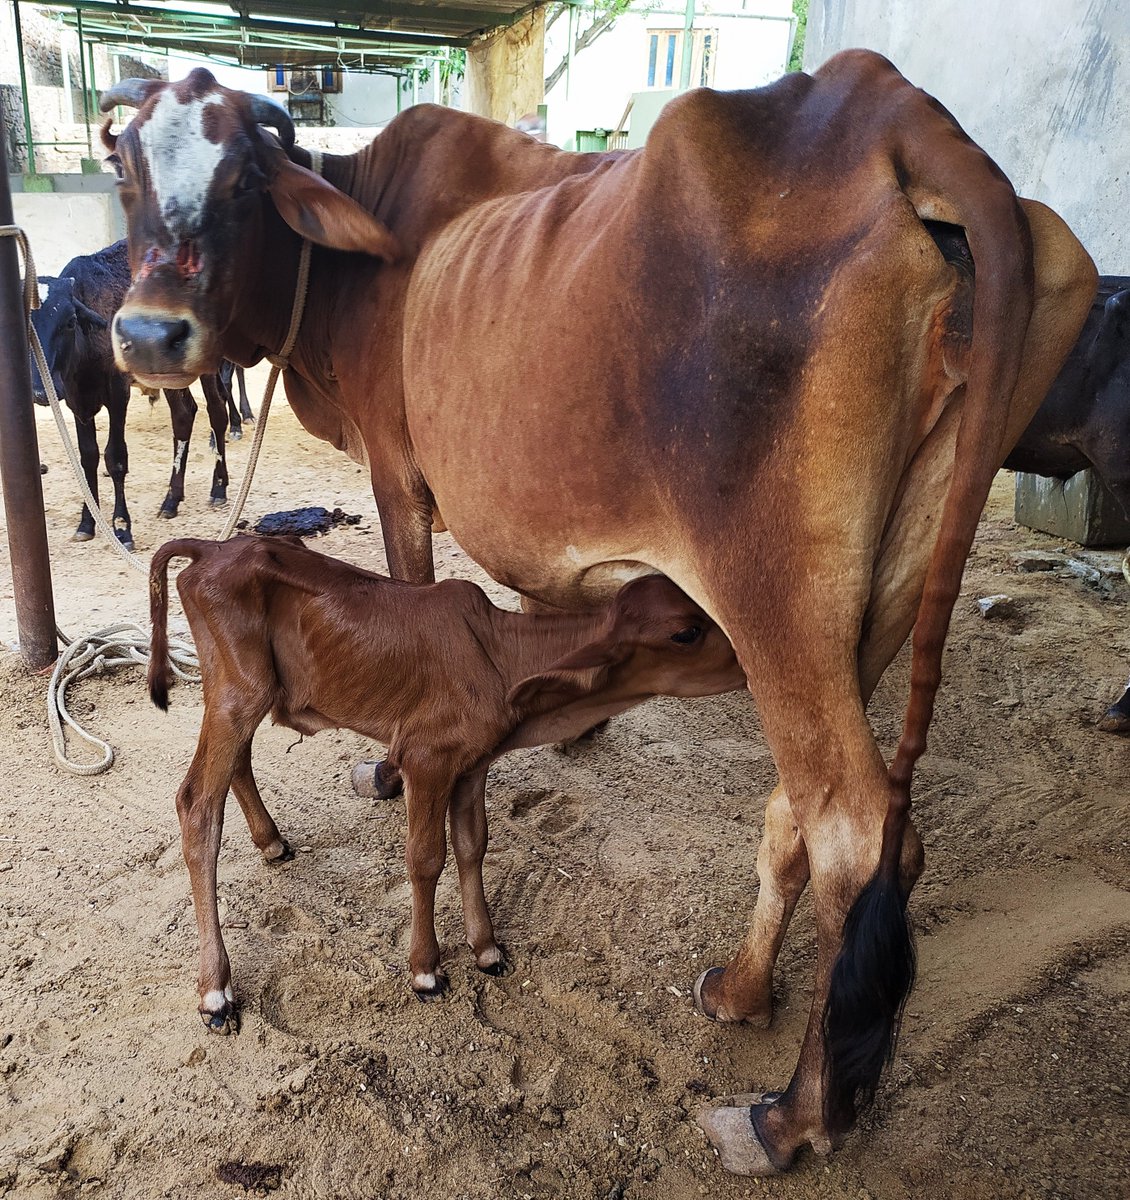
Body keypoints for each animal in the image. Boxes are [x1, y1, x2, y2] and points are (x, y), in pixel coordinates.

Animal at [29, 240, 248, 548]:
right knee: (183, 415)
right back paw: (172, 500)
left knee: (216, 413)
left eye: (70, 321)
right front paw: (87, 522)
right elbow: (87, 458)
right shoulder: (77, 402)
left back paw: (218, 489)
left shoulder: (118, 394)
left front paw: (122, 527)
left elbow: (115, 458)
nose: (40, 391)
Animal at [148, 535, 745, 1031]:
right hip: (239, 694)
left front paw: (486, 948)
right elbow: (425, 857)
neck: (501, 656)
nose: (750, 661)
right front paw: (426, 970)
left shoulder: (472, 763)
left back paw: (271, 842)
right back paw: (216, 990)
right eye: (687, 631)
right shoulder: (426, 760)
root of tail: (211, 547)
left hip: (245, 697)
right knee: (196, 804)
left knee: (237, 766)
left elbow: (472, 844)